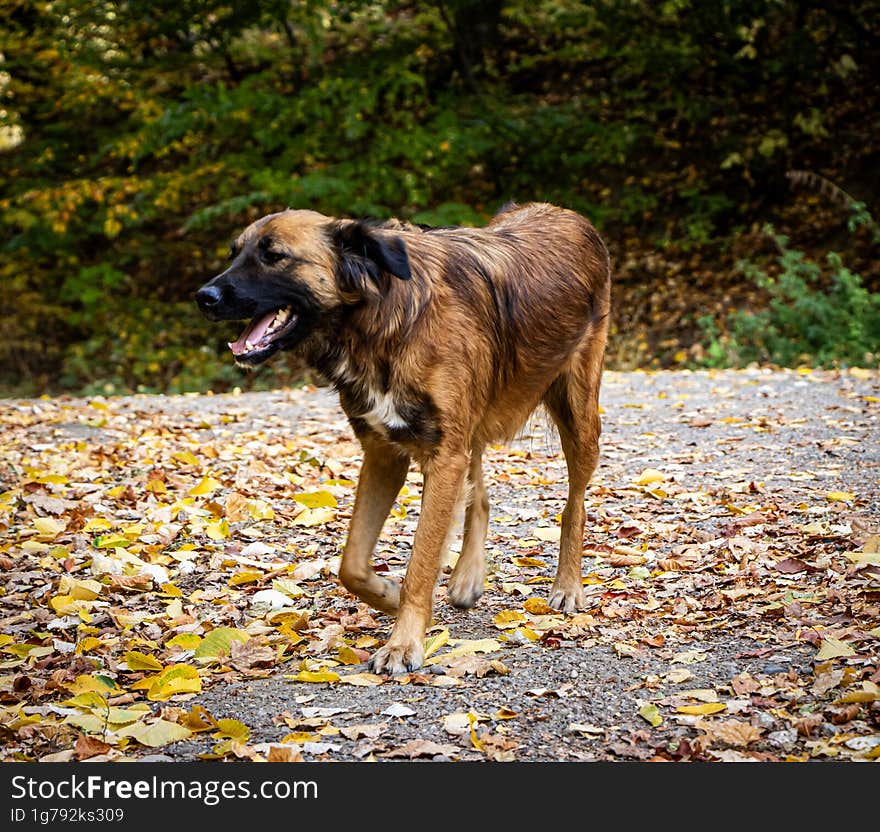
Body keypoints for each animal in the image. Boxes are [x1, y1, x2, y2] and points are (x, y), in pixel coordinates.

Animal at [198, 203, 612, 676]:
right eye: (234, 253)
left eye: (274, 256)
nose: (203, 297)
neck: (381, 318)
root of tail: (565, 213)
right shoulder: (385, 453)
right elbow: (352, 564)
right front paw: (391, 597)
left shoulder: (442, 456)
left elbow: (421, 560)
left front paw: (403, 642)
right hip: (473, 420)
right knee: (480, 495)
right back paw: (467, 576)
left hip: (578, 416)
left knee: (574, 505)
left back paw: (568, 586)